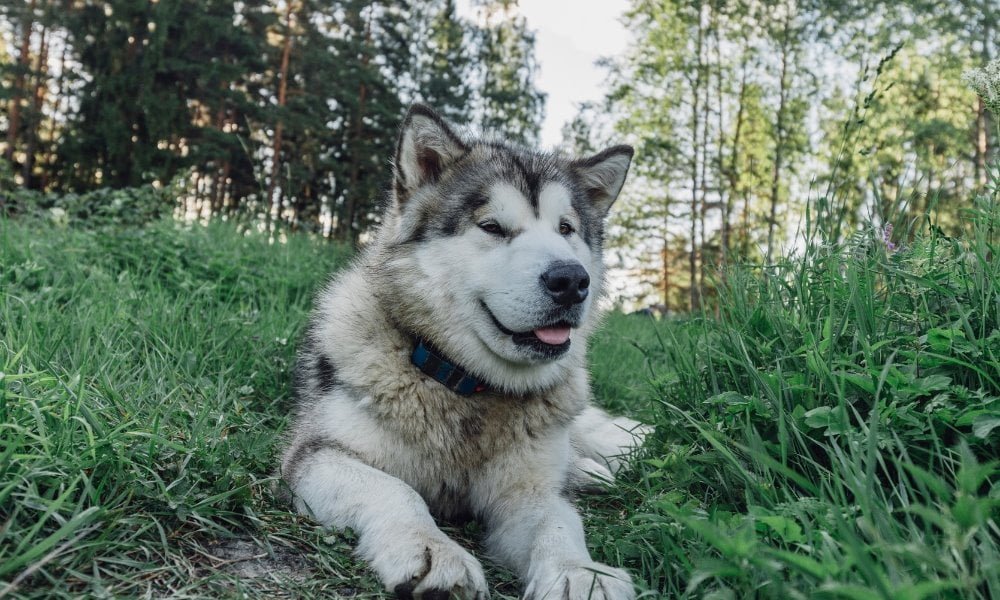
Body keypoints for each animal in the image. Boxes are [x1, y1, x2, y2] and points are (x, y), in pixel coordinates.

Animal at [284, 105, 648, 596]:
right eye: (492, 227)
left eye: (566, 229)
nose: (572, 279)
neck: (469, 387)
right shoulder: (317, 455)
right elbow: (395, 489)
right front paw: (433, 550)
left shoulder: (526, 493)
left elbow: (557, 521)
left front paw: (578, 573)